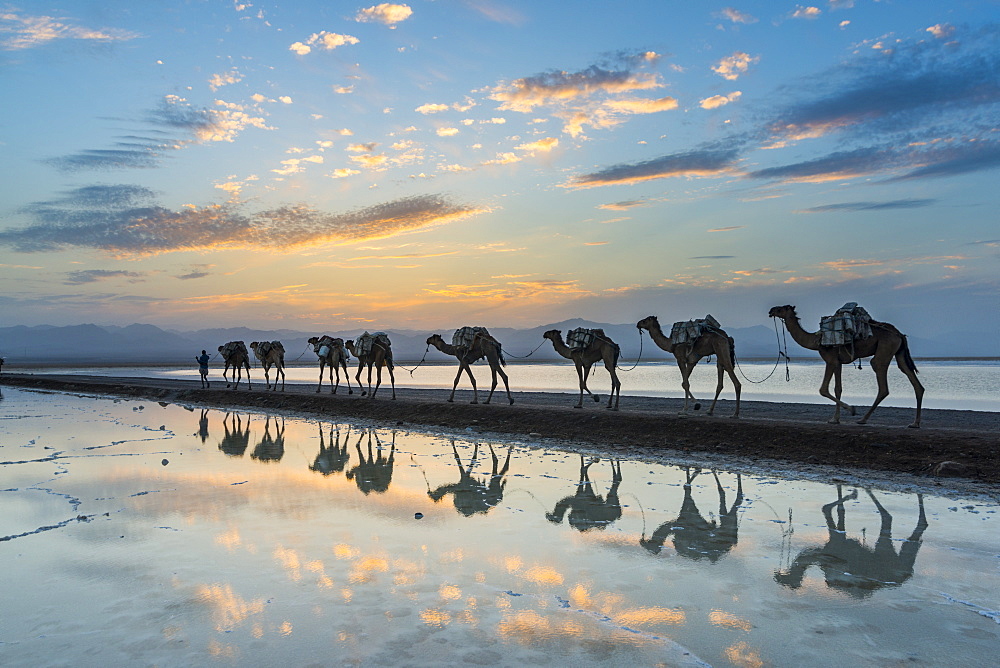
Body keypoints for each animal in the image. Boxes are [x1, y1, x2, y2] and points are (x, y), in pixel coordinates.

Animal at [768, 304, 924, 428]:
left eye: (781, 308)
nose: (771, 311)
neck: (816, 340)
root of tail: (899, 334)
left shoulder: (830, 360)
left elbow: (823, 389)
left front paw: (851, 410)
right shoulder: (838, 363)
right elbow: (838, 389)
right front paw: (835, 419)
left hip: (885, 349)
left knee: (881, 380)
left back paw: (862, 419)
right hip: (899, 353)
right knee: (912, 378)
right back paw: (915, 423)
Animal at [772, 482, 928, 596]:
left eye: (785, 580)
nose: (777, 573)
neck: (820, 556)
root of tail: (902, 577)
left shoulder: (838, 542)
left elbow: (826, 508)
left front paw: (853, 493)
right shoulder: (838, 539)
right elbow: (840, 511)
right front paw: (851, 494)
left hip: (884, 558)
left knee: (887, 517)